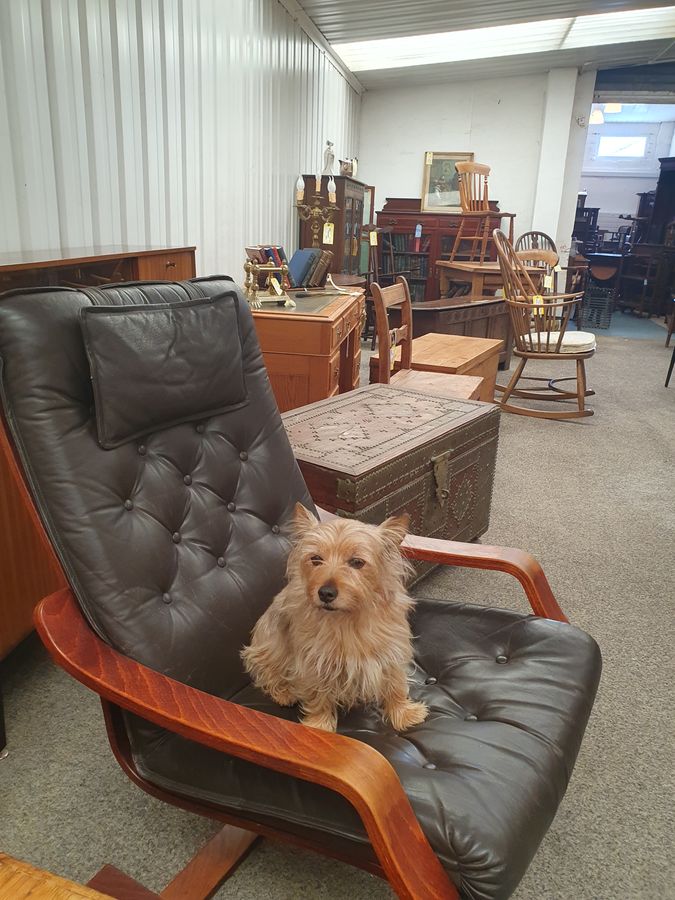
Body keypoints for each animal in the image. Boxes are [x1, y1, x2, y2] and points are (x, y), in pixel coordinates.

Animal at [242, 502, 428, 736]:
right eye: (316, 559)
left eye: (357, 562)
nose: (325, 593)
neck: (347, 617)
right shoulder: (314, 662)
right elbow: (318, 695)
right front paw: (319, 725)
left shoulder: (391, 651)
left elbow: (396, 683)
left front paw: (403, 714)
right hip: (267, 646)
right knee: (267, 672)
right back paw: (283, 692)